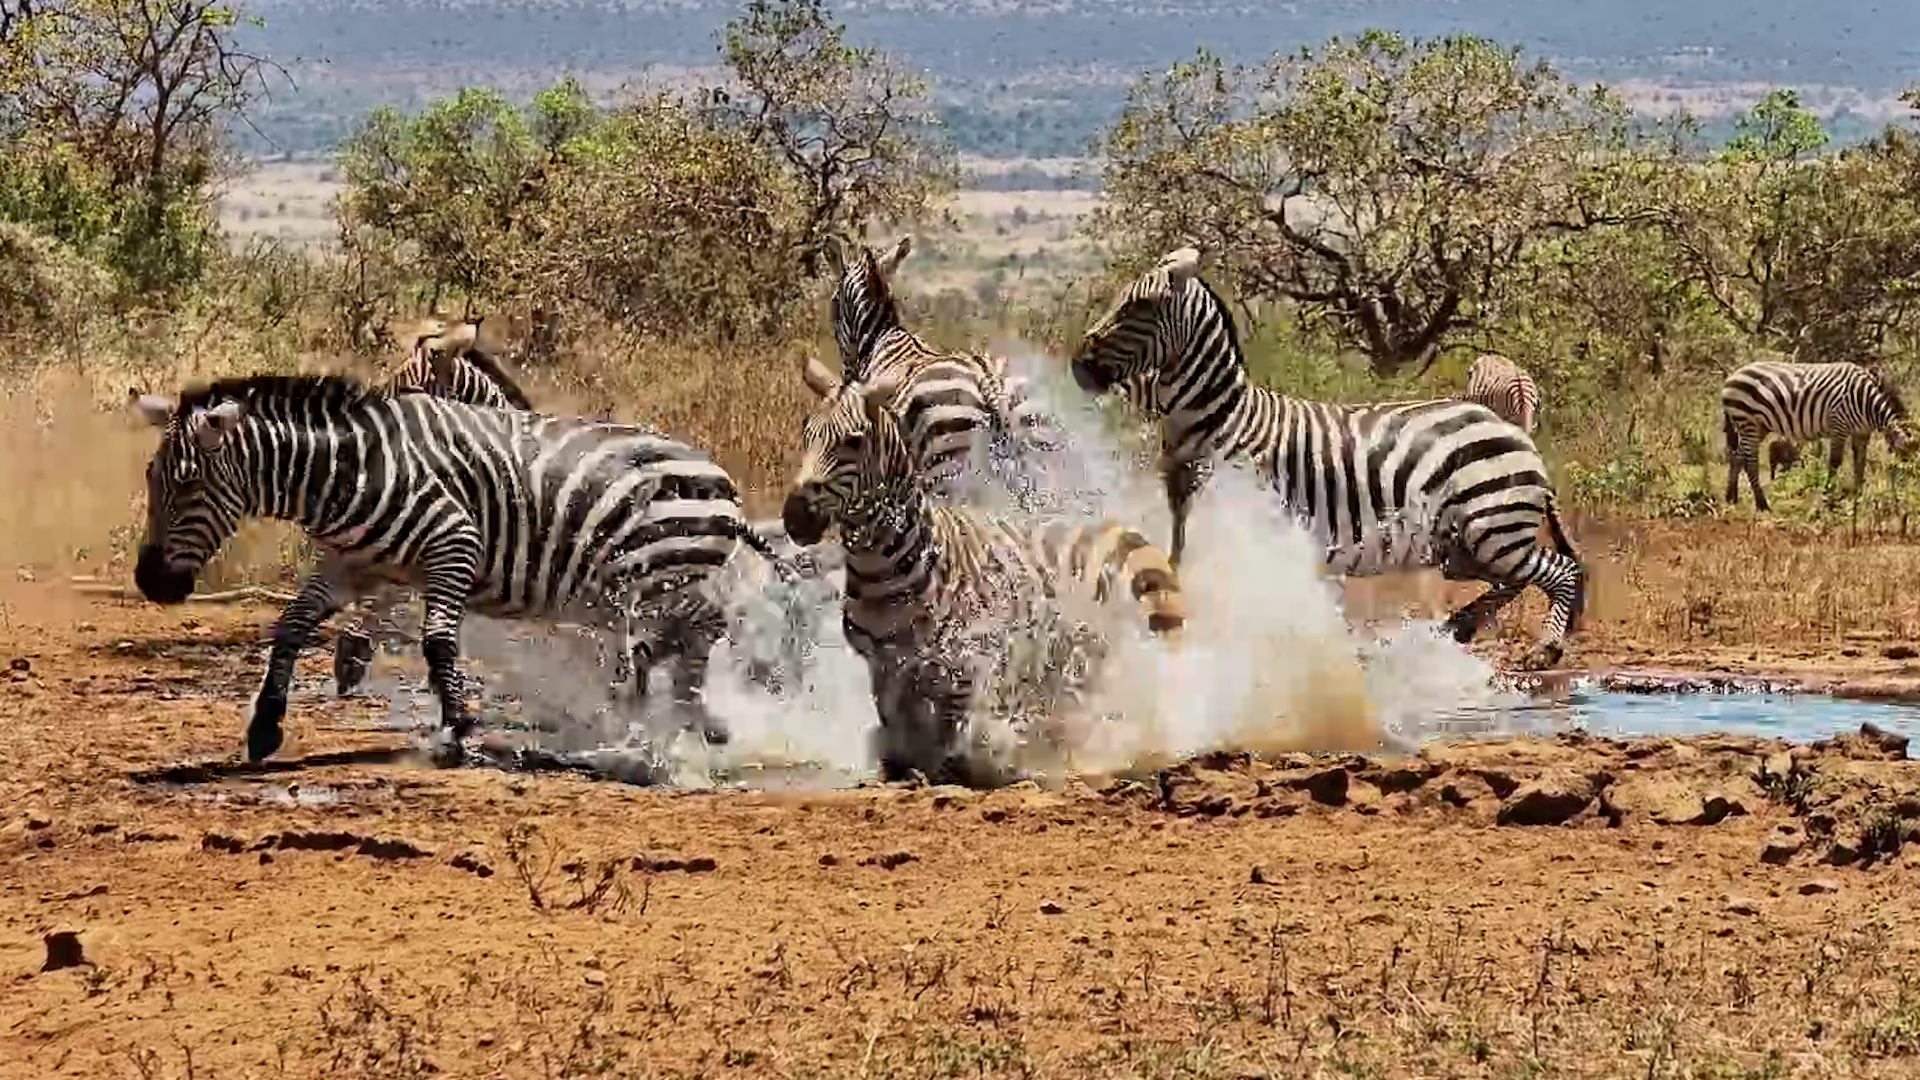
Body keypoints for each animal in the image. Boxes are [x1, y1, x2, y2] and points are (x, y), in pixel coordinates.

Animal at [129, 373, 799, 765]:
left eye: (186, 484)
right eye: (151, 478)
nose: (150, 583)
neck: (352, 471)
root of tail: (724, 483)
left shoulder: (454, 547)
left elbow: (437, 642)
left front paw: (457, 729)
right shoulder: (355, 564)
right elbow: (292, 625)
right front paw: (265, 727)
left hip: (664, 577)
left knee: (697, 635)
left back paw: (682, 720)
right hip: (661, 584)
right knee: (683, 642)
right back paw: (678, 718)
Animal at [781, 370, 1188, 787]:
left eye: (854, 441)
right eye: (807, 433)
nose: (795, 517)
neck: (887, 570)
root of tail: (1122, 527)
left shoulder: (970, 658)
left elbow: (954, 734)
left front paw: (963, 768)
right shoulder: (884, 664)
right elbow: (896, 728)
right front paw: (901, 767)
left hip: (1156, 635)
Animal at [821, 234, 1063, 507]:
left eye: (833, 302)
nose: (846, 373)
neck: (878, 341)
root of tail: (988, 381)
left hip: (946, 468)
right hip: (1036, 451)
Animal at [1069, 245, 1585, 670]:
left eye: (1138, 306)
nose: (1078, 365)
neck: (1221, 419)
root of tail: (1513, 429)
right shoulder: (1184, 511)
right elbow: (1174, 571)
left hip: (1492, 529)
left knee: (1560, 571)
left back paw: (1544, 649)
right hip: (1464, 546)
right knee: (1514, 582)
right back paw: (1461, 625)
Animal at [1721, 360, 1915, 511]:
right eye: (1904, 466)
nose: (1908, 495)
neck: (1867, 402)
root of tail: (1731, 376)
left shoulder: (1862, 433)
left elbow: (1860, 463)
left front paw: (1858, 497)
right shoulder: (1839, 425)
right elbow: (1835, 462)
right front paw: (1828, 499)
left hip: (1758, 426)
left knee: (1737, 456)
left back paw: (1731, 498)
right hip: (1747, 421)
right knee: (1750, 461)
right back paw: (1762, 504)